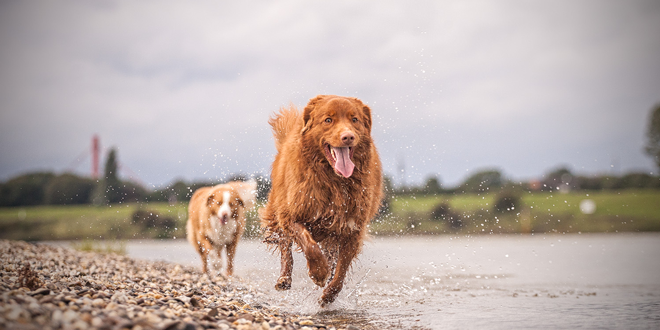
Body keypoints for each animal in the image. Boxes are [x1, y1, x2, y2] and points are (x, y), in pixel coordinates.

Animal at [258, 94, 382, 306]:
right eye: (328, 120)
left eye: (354, 119)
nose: (348, 136)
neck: (334, 180)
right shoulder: (292, 214)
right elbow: (309, 245)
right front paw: (318, 273)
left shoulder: (352, 228)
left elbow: (341, 269)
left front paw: (329, 294)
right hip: (278, 208)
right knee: (284, 245)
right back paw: (284, 278)